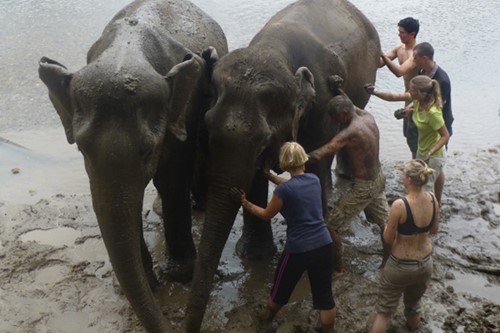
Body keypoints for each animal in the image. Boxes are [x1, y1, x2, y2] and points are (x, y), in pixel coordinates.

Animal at [37, 0, 229, 330]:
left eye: (147, 151)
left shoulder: (183, 110)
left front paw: (181, 276)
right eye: (82, 149)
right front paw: (147, 282)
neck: (126, 51)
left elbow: (172, 178)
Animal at [184, 0, 378, 330]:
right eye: (206, 132)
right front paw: (254, 256)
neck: (274, 52)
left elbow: (312, 161)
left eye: (264, 141)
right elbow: (256, 179)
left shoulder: (321, 104)